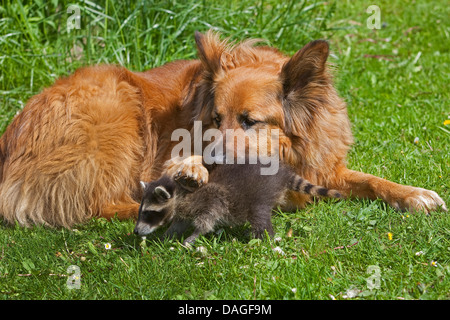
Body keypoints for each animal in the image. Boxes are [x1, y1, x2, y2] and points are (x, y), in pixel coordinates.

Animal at [0, 31, 442, 228]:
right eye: (214, 120)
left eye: (250, 121)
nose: (212, 160)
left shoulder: (325, 169)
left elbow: (370, 180)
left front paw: (411, 194)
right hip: (117, 111)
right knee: (97, 204)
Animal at [134, 164, 342, 244]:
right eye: (141, 212)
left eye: (148, 213)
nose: (135, 231)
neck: (180, 194)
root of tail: (279, 173)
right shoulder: (184, 209)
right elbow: (180, 223)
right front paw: (167, 235)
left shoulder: (212, 199)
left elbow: (207, 220)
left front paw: (194, 235)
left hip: (258, 195)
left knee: (259, 216)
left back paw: (262, 237)